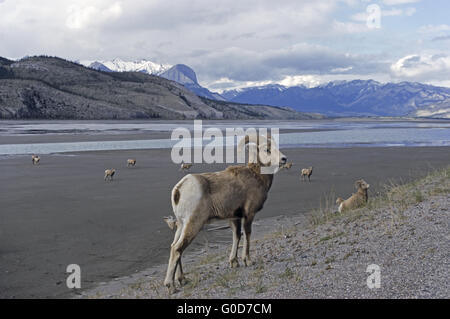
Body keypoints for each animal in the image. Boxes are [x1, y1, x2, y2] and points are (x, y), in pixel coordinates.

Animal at [163, 134, 286, 294]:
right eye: (267, 149)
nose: (284, 159)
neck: (257, 177)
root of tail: (179, 189)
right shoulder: (249, 215)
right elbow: (247, 235)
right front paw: (247, 261)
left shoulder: (234, 218)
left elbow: (237, 236)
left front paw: (234, 263)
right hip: (194, 224)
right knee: (177, 249)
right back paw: (171, 286)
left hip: (181, 225)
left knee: (175, 246)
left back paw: (182, 279)